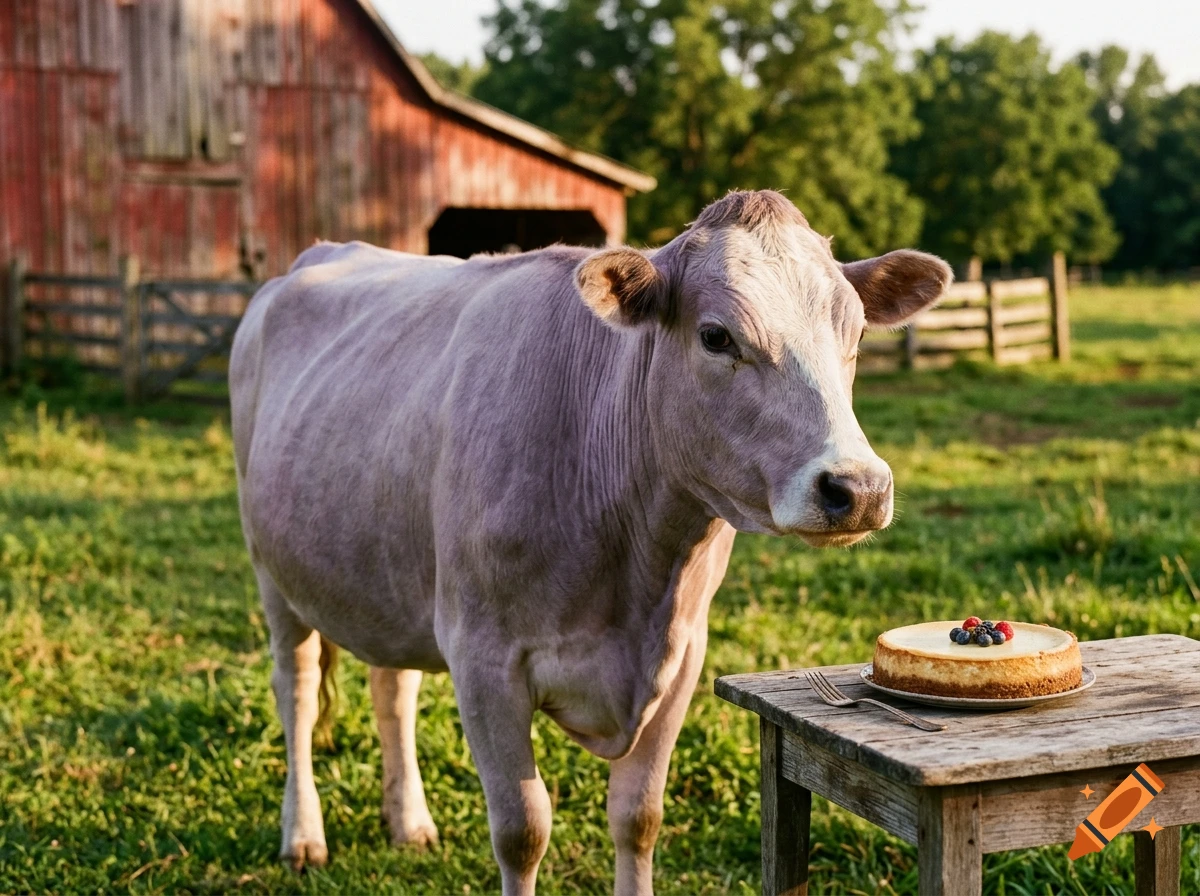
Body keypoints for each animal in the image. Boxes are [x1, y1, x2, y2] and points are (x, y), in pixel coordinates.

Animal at [230, 190, 951, 896]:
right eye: (716, 336)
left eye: (857, 333)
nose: (859, 487)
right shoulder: (483, 659)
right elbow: (522, 830)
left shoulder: (682, 655)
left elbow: (639, 816)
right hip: (272, 575)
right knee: (296, 693)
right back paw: (303, 836)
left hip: (391, 573)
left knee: (392, 691)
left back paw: (409, 822)